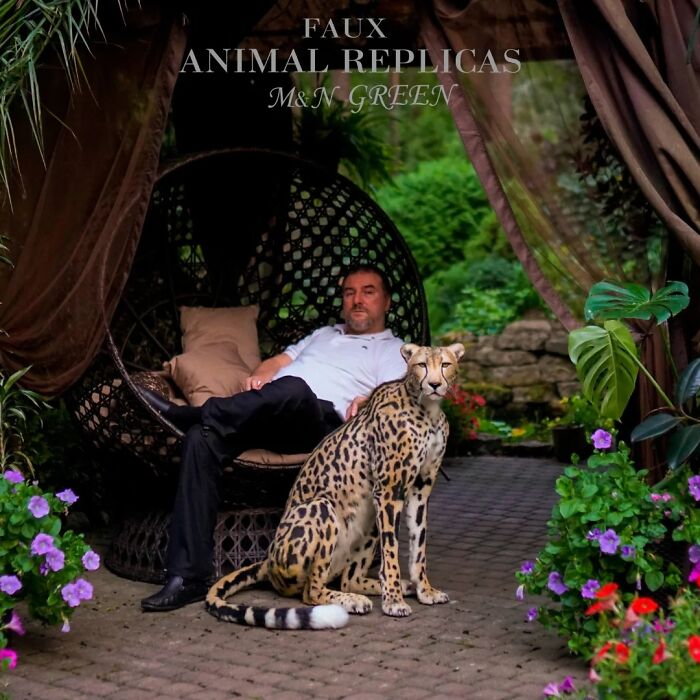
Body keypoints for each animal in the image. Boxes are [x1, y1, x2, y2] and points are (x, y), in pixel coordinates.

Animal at [205, 342, 465, 629]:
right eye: (421, 365)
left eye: (445, 364)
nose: (434, 384)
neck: (428, 411)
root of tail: (268, 559)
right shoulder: (389, 490)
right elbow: (392, 550)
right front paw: (394, 600)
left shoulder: (420, 489)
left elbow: (419, 546)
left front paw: (424, 590)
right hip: (322, 507)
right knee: (311, 591)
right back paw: (352, 600)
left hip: (368, 521)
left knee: (348, 579)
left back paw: (382, 588)